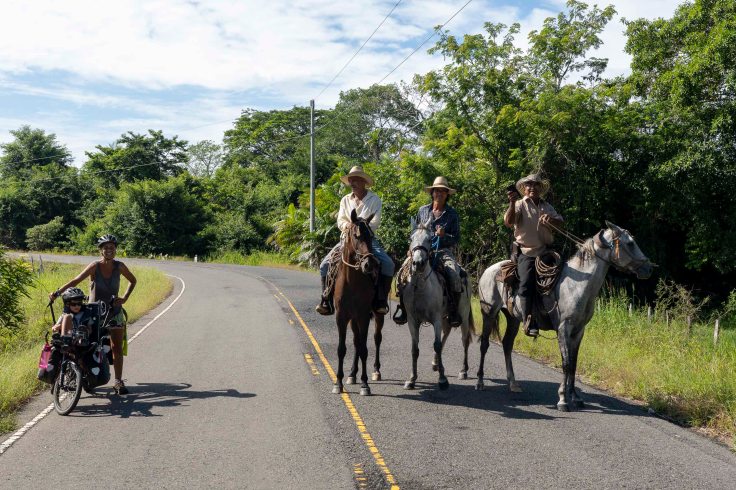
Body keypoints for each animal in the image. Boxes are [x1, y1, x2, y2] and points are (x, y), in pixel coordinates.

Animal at [332, 209, 385, 396]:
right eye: (356, 236)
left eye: (371, 237)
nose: (369, 264)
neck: (352, 281)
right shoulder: (341, 316)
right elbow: (342, 349)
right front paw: (338, 383)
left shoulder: (363, 315)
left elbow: (364, 349)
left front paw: (365, 384)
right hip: (352, 319)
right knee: (356, 341)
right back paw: (352, 374)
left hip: (377, 315)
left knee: (376, 339)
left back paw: (376, 371)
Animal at [402, 218, 474, 390]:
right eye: (411, 239)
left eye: (430, 239)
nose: (418, 263)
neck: (421, 288)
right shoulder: (412, 320)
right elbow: (415, 349)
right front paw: (412, 379)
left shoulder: (435, 319)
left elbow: (436, 344)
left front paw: (442, 380)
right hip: (446, 317)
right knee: (445, 334)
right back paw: (436, 363)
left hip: (463, 315)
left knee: (464, 340)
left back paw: (463, 371)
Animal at [477, 221, 653, 411]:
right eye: (630, 243)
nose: (648, 268)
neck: (576, 285)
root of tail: (488, 270)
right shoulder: (563, 328)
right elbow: (566, 363)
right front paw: (562, 399)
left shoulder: (578, 331)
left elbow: (574, 364)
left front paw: (575, 397)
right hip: (488, 313)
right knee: (484, 344)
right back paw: (480, 382)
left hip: (514, 319)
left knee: (507, 344)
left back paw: (513, 384)